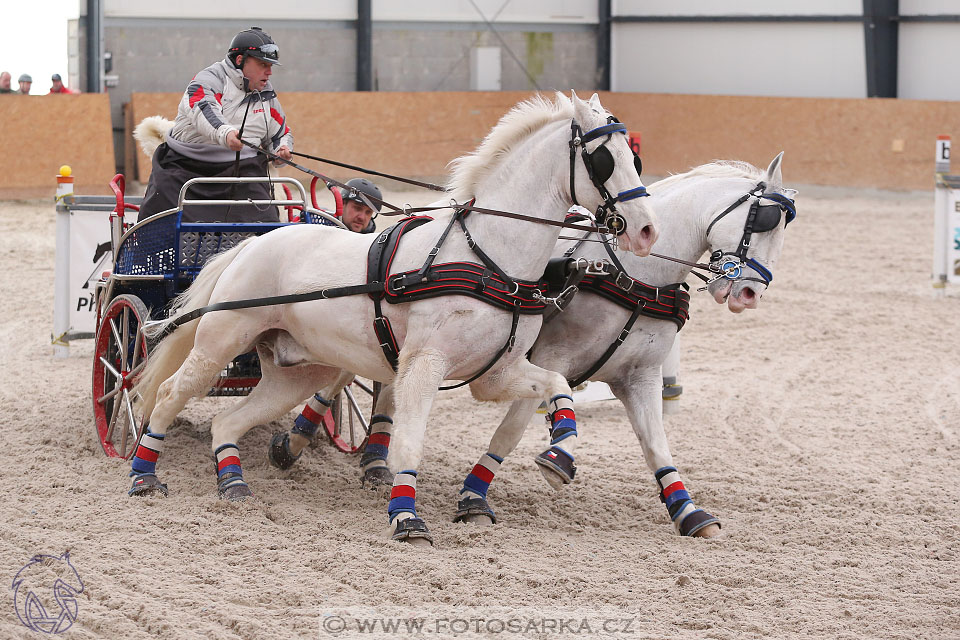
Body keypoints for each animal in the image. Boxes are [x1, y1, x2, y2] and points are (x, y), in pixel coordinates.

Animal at [129, 90, 660, 544]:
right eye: (604, 158)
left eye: (635, 157)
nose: (646, 231)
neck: (488, 258)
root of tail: (253, 242)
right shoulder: (424, 366)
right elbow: (408, 442)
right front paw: (406, 518)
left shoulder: (496, 374)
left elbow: (557, 386)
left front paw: (559, 453)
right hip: (219, 343)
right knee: (171, 394)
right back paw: (143, 476)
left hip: (299, 373)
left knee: (228, 422)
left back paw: (233, 485)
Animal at [446, 155, 800, 536]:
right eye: (764, 220)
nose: (750, 294)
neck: (635, 276)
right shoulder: (551, 357)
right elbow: (511, 431)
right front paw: (478, 495)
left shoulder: (640, 377)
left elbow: (657, 446)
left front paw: (688, 512)